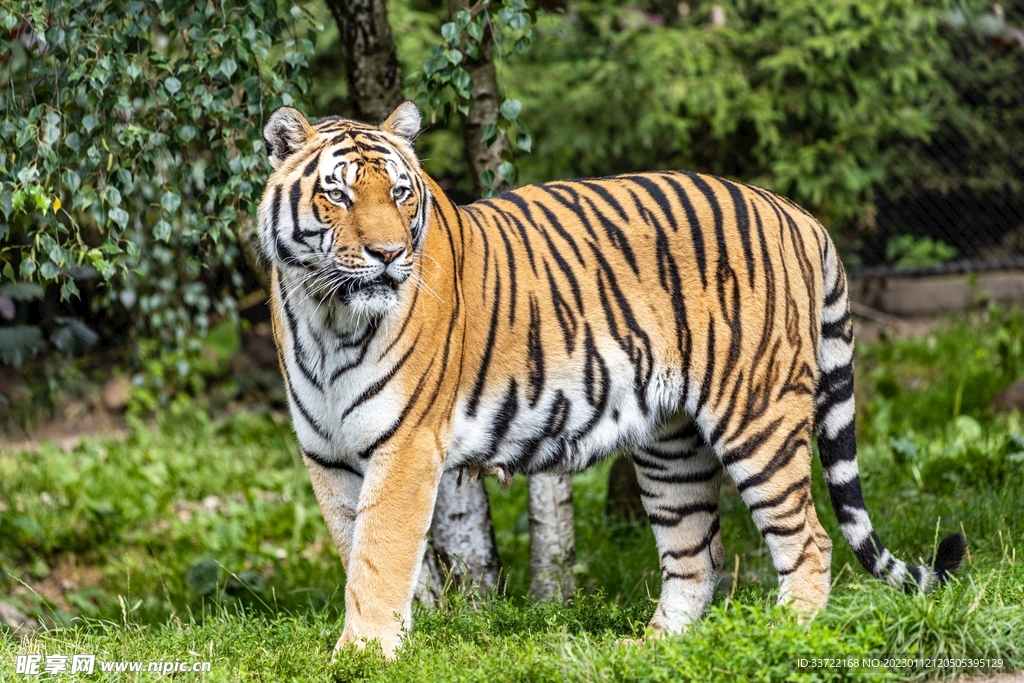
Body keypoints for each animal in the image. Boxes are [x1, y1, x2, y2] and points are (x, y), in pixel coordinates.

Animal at [258, 101, 966, 658]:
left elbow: (379, 556)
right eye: (338, 194)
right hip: (672, 445)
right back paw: (655, 649)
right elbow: (355, 548)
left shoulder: (406, 447)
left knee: (809, 539)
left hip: (757, 416)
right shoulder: (328, 455)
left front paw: (364, 655)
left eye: (401, 194)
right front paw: (376, 645)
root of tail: (798, 214)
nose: (387, 255)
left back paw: (789, 635)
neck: (328, 316)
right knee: (696, 552)